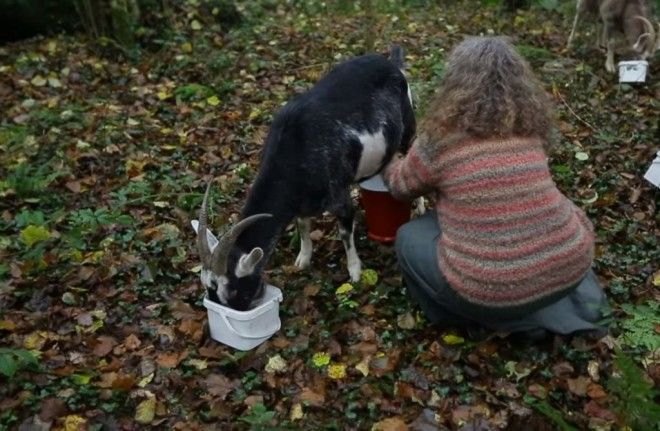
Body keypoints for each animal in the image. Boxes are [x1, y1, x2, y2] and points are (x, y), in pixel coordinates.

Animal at [191, 46, 416, 310]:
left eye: (233, 290)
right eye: (209, 289)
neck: (295, 148)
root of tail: (392, 63)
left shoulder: (339, 196)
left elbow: (345, 233)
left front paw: (355, 272)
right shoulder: (301, 201)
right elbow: (302, 224)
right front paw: (303, 259)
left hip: (408, 128)